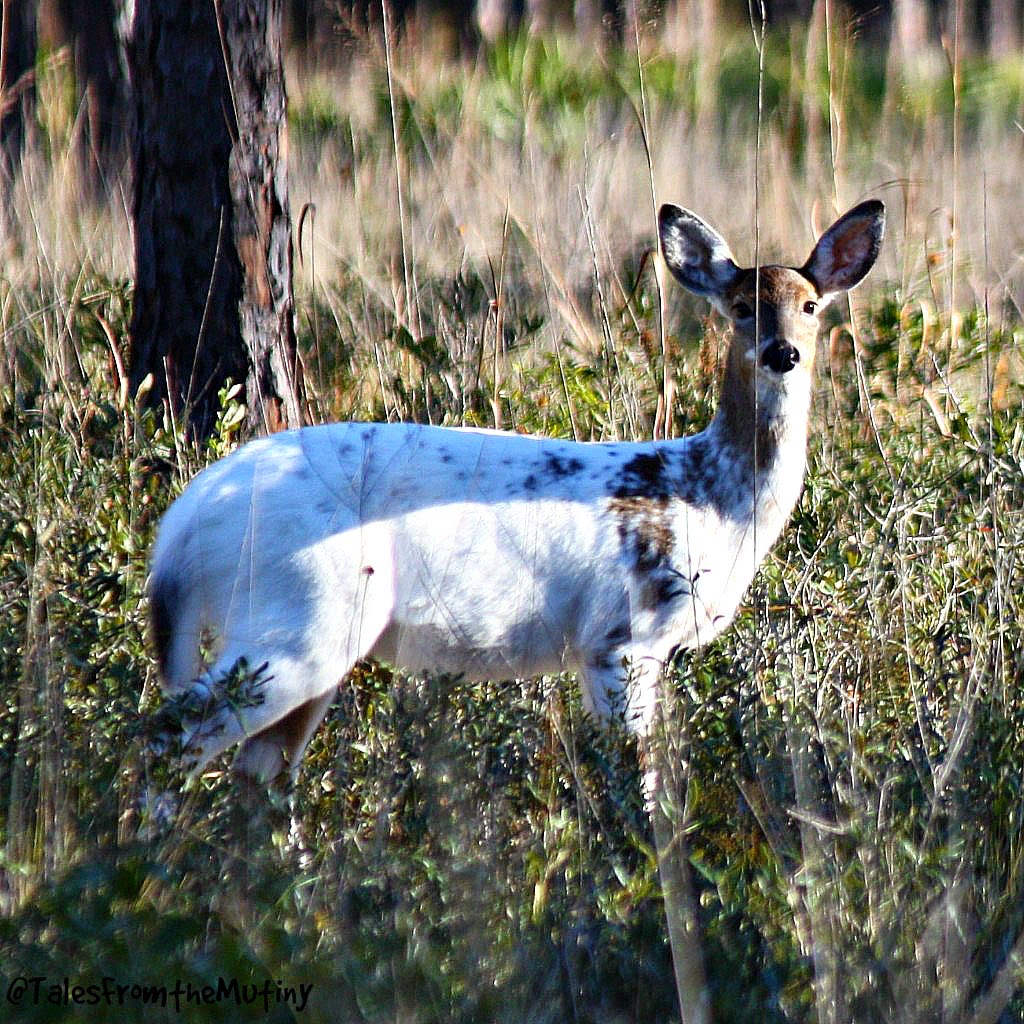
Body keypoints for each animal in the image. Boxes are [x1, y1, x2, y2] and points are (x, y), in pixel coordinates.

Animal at [145, 199, 884, 805]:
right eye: (740, 306)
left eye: (811, 306)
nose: (782, 352)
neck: (707, 497)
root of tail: (183, 524)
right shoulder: (621, 637)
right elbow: (638, 779)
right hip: (294, 616)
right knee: (168, 736)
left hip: (308, 635)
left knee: (256, 772)